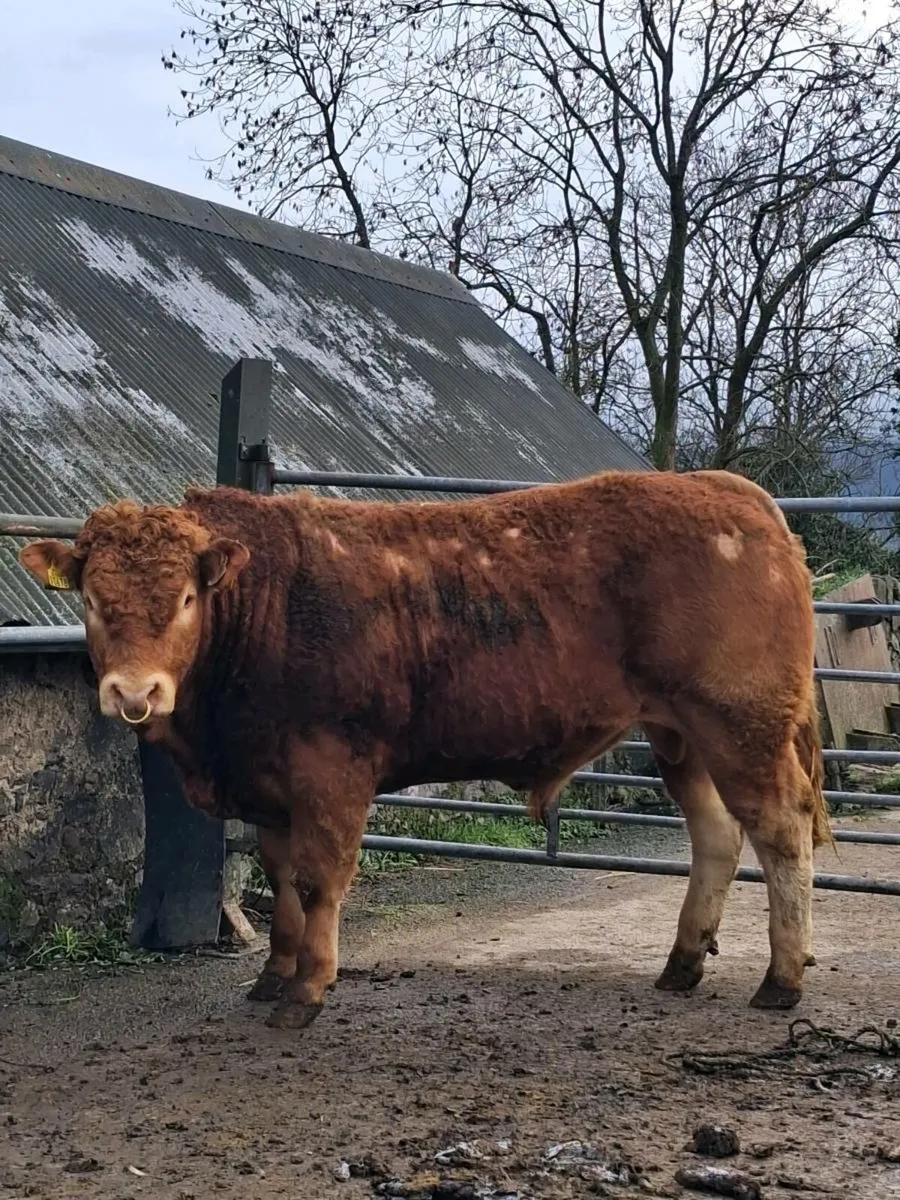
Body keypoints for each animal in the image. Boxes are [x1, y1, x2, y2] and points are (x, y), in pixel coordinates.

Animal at [19, 469, 830, 1030]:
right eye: (91, 599)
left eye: (187, 599)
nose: (135, 691)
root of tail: (733, 491)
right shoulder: (268, 784)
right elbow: (280, 880)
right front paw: (273, 973)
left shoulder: (331, 771)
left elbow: (317, 881)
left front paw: (307, 989)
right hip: (680, 735)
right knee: (717, 836)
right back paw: (683, 963)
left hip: (741, 724)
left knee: (782, 831)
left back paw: (782, 979)